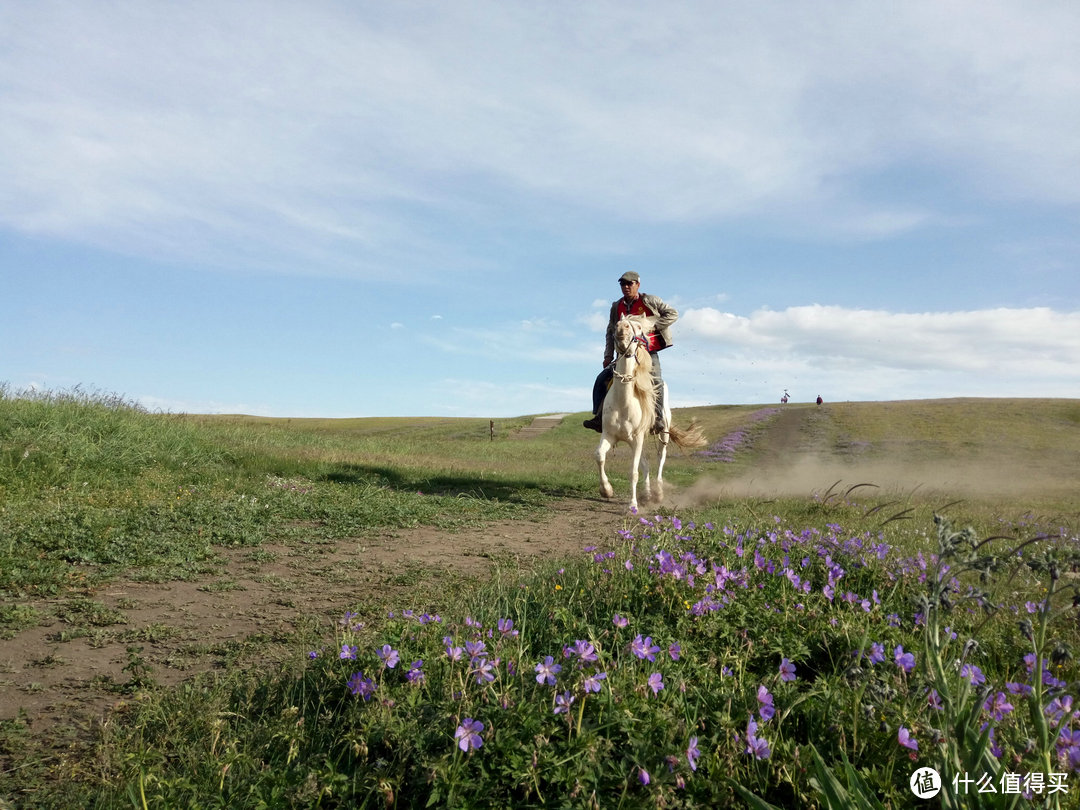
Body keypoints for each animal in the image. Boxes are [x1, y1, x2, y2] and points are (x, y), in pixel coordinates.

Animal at [596, 315, 704, 509]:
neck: (623, 402)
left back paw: (658, 492)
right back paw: (646, 494)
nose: (621, 328)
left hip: (662, 435)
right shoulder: (609, 435)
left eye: (639, 327)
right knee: (645, 463)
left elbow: (633, 472)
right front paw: (606, 490)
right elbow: (600, 456)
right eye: (616, 324)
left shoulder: (637, 438)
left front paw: (632, 506)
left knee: (660, 458)